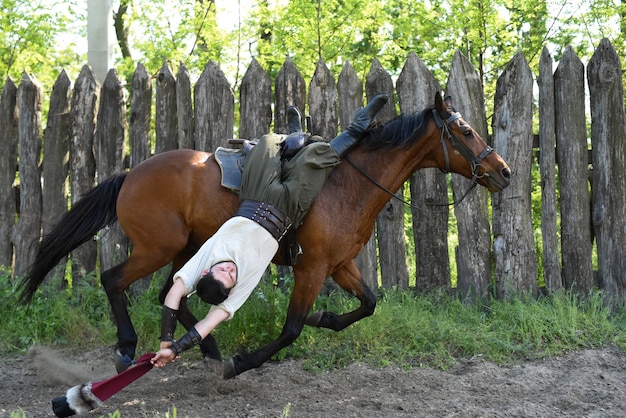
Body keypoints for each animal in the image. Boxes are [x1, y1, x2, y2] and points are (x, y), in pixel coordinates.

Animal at [19, 92, 510, 378]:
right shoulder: (312, 267)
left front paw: (324, 319)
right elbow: (291, 328)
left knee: (165, 292)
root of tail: (129, 175)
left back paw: (208, 347)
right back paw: (128, 348)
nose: (503, 171)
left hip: (188, 248)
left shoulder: (339, 264)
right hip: (160, 247)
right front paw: (245, 361)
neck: (348, 181)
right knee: (114, 280)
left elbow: (368, 304)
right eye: (466, 130)